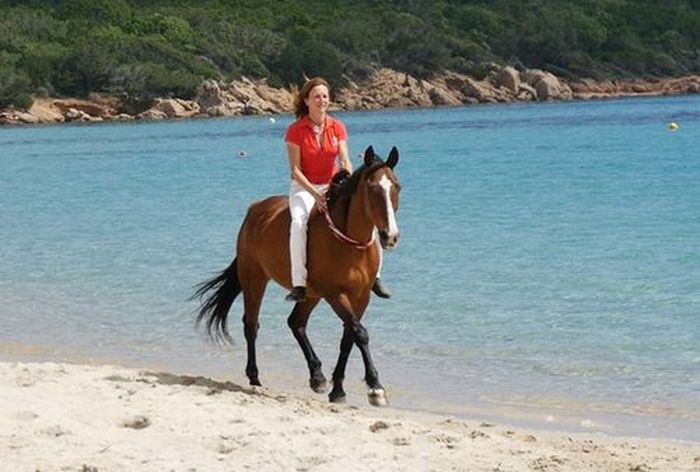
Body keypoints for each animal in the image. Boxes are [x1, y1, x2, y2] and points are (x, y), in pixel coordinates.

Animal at [193, 145, 400, 406]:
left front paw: (338, 389)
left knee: (296, 323)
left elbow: (348, 338)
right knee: (251, 325)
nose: (390, 236)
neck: (350, 244)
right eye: (372, 188)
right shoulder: (335, 294)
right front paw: (375, 387)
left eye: (397, 187)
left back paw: (317, 377)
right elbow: (360, 333)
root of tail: (255, 209)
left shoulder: (361, 296)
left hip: (311, 294)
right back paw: (255, 377)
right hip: (255, 279)